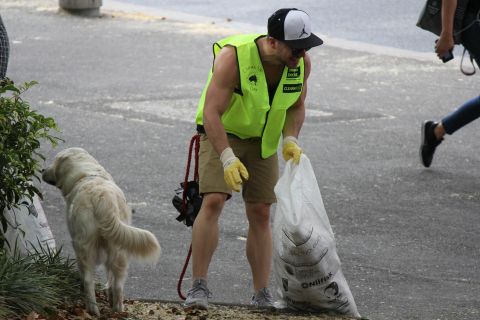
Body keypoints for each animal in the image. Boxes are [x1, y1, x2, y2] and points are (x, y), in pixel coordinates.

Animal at [42, 148, 161, 316]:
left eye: (54, 161)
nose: (42, 170)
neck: (86, 175)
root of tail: (102, 198)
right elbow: (110, 277)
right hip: (119, 247)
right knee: (118, 283)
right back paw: (117, 310)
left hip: (83, 246)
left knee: (88, 279)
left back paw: (92, 308)